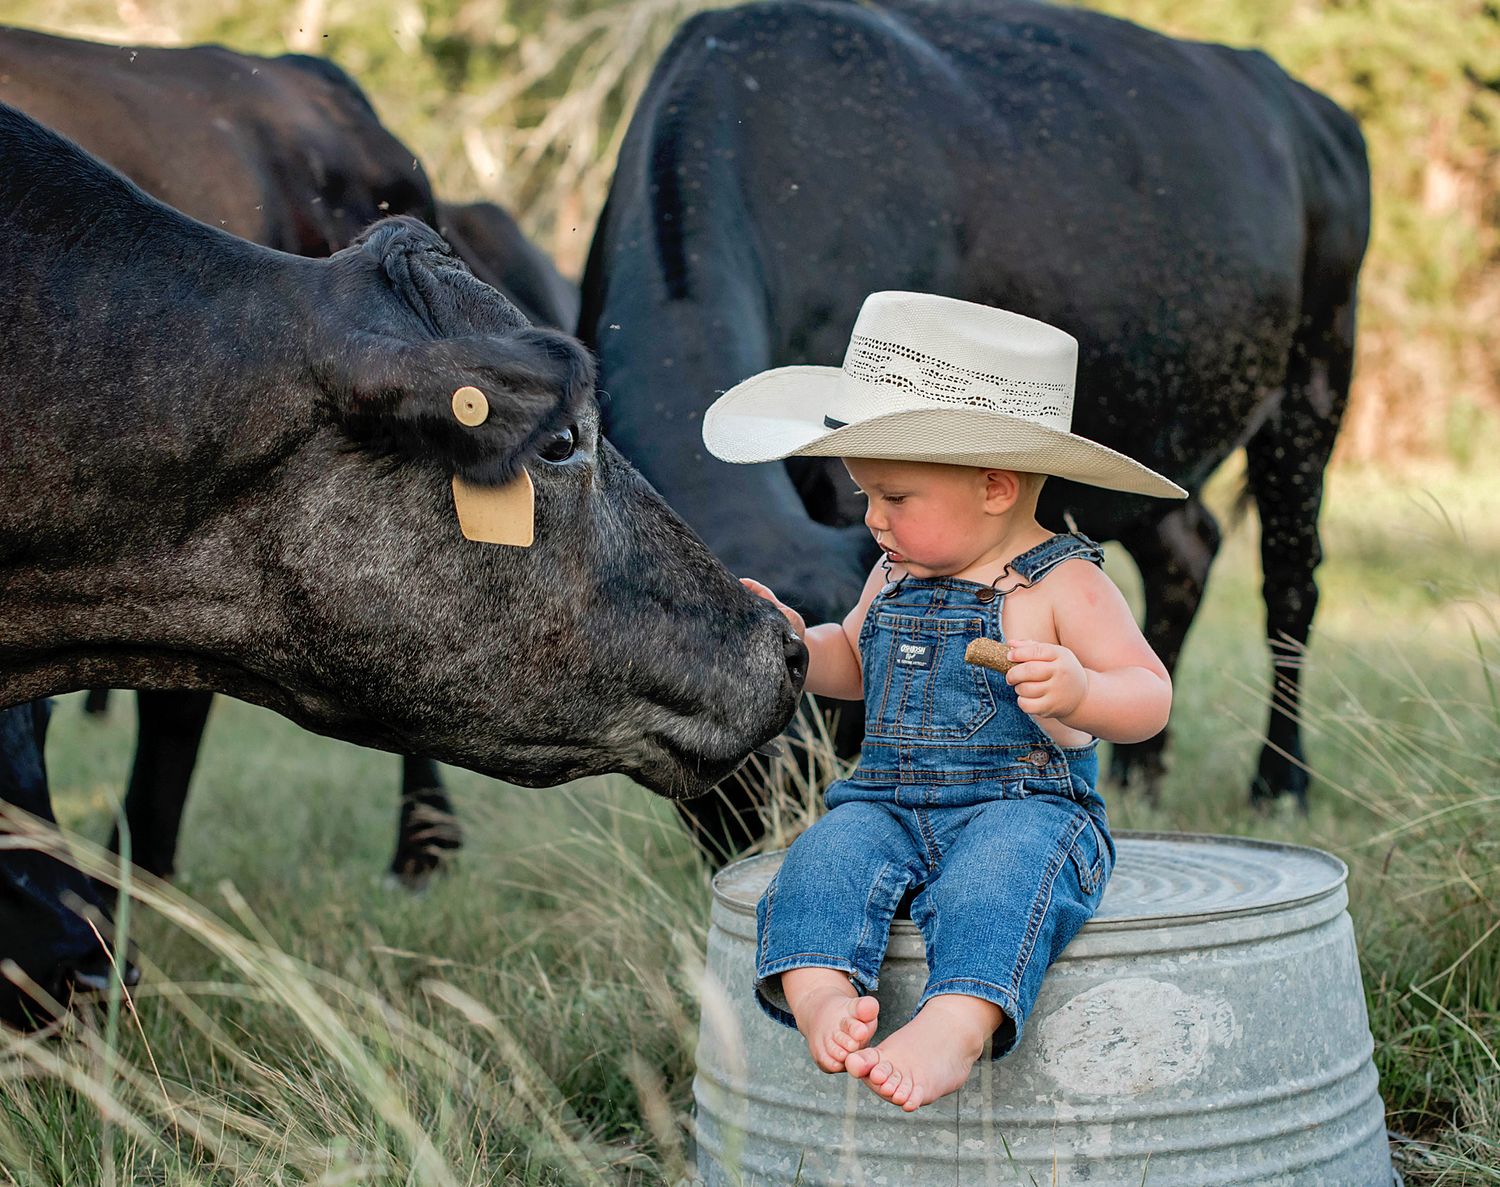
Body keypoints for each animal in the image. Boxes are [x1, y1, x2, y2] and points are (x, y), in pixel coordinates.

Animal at [579, 0, 1370, 819]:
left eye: (839, 721)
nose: (781, 832)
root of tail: (1306, 104)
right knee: (1186, 551)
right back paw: (1139, 773)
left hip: (1318, 373)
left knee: (1290, 583)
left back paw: (1280, 782)